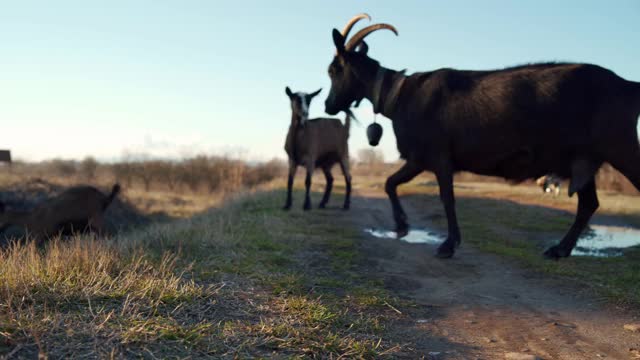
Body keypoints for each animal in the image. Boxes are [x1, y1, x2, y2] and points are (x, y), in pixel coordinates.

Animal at [322, 14, 640, 258]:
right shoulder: (419, 158)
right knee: (588, 204)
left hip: (621, 147)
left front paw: (448, 245)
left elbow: (446, 198)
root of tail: (627, 85)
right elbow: (390, 183)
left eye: (334, 69)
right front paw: (401, 225)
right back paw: (559, 250)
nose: (328, 105)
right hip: (584, 159)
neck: (401, 96)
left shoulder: (438, 155)